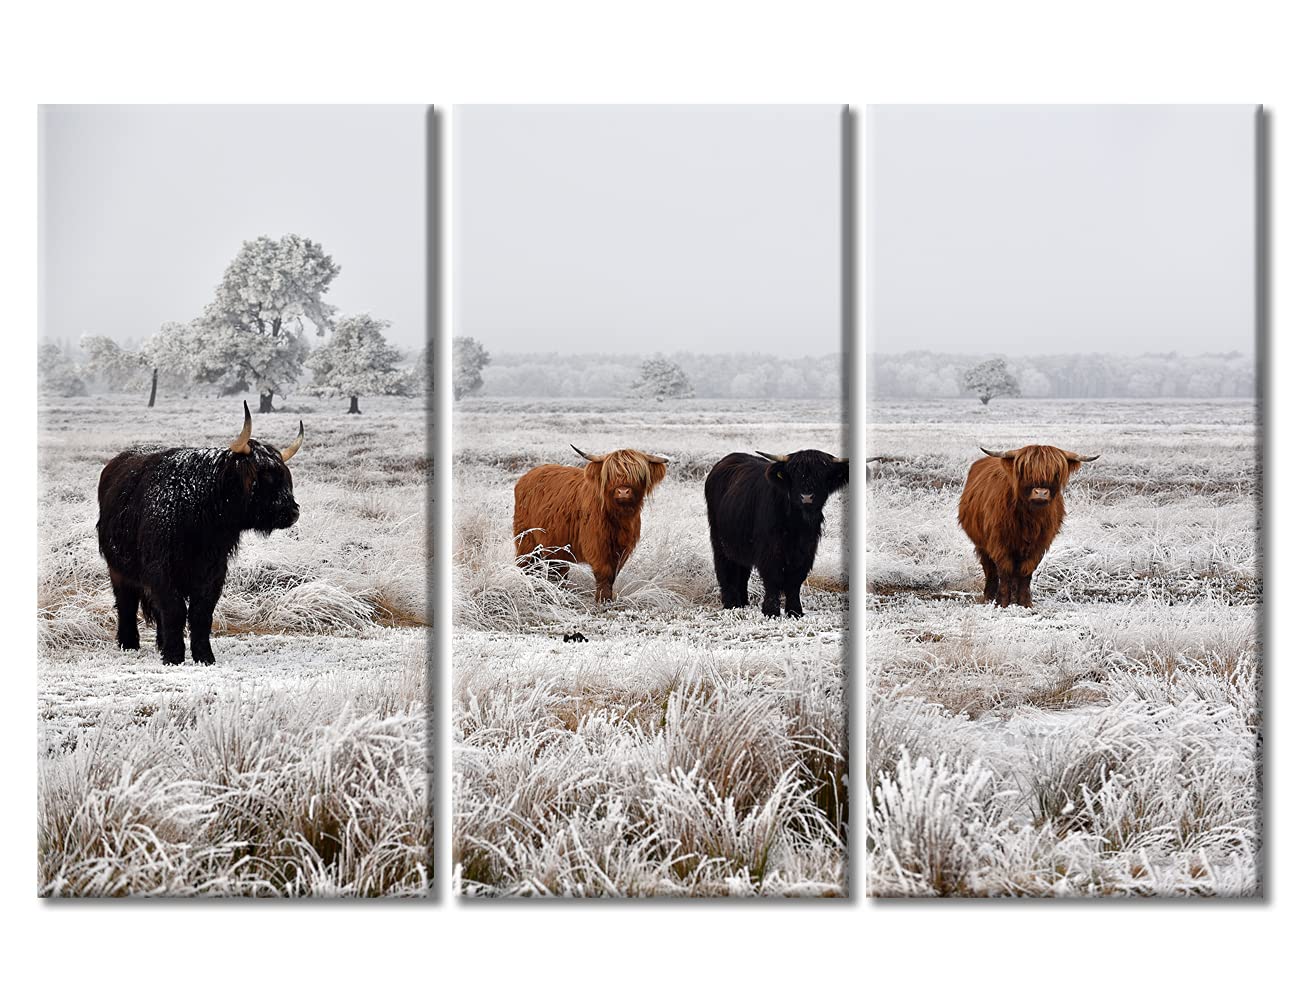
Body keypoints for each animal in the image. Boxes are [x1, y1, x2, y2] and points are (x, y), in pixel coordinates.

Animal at [96, 402, 304, 664]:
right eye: (264, 475)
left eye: (286, 476)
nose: (292, 511)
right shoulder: (161, 569)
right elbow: (174, 609)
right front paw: (174, 656)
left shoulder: (213, 571)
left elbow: (201, 612)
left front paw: (203, 656)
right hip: (118, 568)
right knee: (126, 603)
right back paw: (129, 643)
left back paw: (160, 643)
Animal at [512, 445, 669, 603]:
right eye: (610, 474)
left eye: (638, 474)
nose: (623, 491)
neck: (619, 518)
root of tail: (528, 475)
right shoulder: (596, 542)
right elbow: (604, 571)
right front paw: (603, 599)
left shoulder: (623, 548)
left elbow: (614, 573)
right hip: (526, 537)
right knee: (528, 562)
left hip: (555, 542)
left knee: (557, 567)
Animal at [704, 450, 850, 617]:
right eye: (795, 473)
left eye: (822, 474)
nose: (806, 497)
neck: (796, 524)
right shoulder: (770, 549)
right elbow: (773, 577)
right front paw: (771, 611)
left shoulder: (807, 550)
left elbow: (795, 580)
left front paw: (795, 611)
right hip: (720, 539)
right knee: (726, 568)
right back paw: (732, 604)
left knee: (742, 570)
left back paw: (744, 602)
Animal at [957, 444, 1100, 609]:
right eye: (1026, 471)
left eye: (1056, 473)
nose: (1041, 492)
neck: (1029, 519)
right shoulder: (999, 543)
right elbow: (1004, 571)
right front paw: (1002, 603)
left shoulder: (1038, 545)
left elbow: (1026, 572)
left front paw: (1025, 602)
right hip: (981, 543)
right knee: (990, 569)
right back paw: (988, 597)